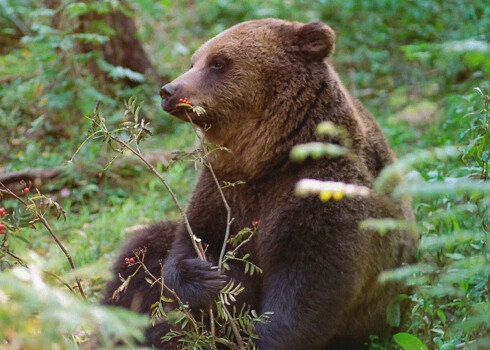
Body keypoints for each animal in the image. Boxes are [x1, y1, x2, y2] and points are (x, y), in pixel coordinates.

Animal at [102, 19, 418, 350]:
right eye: (194, 61)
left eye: (218, 62)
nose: (169, 90)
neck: (271, 157)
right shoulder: (224, 187)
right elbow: (190, 246)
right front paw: (203, 276)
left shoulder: (325, 192)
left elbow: (308, 286)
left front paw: (265, 336)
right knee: (141, 253)